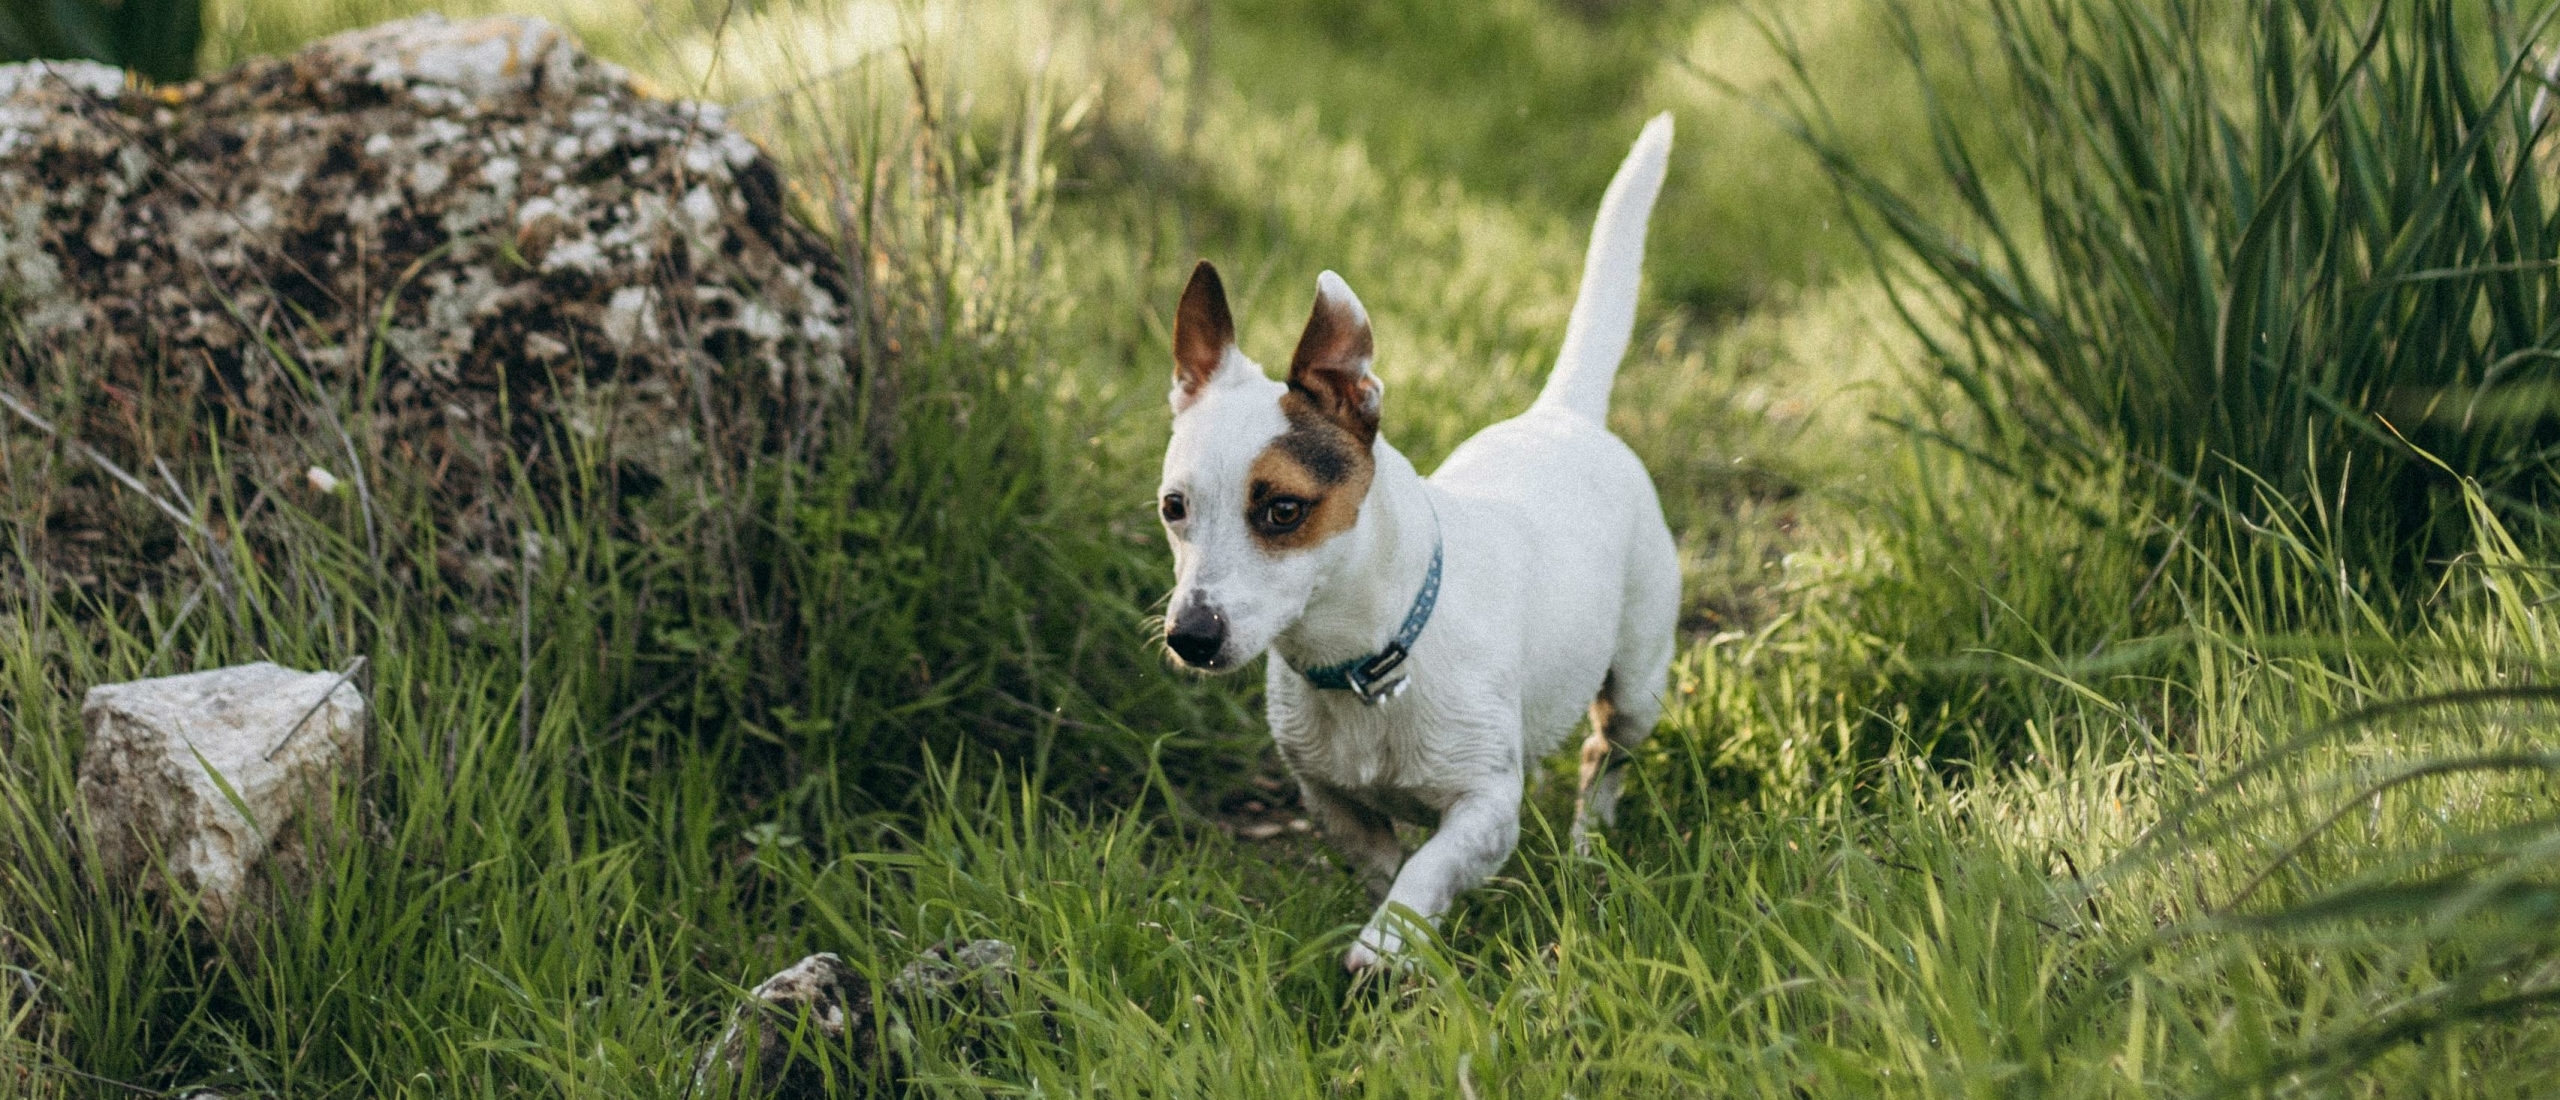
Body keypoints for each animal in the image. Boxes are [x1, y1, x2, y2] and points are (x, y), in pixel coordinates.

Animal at [1157, 113, 1679, 972]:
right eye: (1174, 508)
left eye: (1283, 510)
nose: (1189, 637)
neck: (1364, 662)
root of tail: (1563, 414)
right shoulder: (1328, 795)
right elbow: (1382, 858)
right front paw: (1394, 924)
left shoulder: (1486, 807)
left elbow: (1428, 867)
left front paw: (1384, 945)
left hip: (1639, 679)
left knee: (1608, 753)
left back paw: (1588, 842)